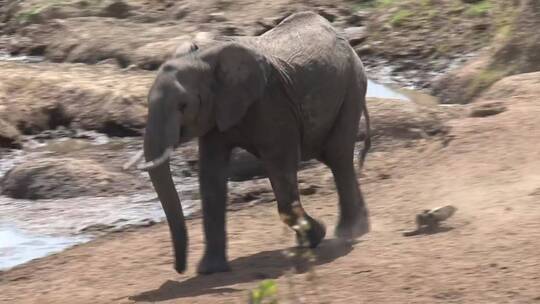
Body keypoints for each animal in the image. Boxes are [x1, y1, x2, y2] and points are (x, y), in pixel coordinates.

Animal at [135, 11, 372, 274]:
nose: (180, 269)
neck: (204, 58)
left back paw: (348, 233)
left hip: (352, 86)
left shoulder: (271, 101)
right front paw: (210, 271)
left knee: (337, 155)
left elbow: (281, 165)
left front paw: (317, 234)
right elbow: (211, 178)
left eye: (183, 105)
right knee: (334, 157)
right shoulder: (217, 111)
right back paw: (357, 229)